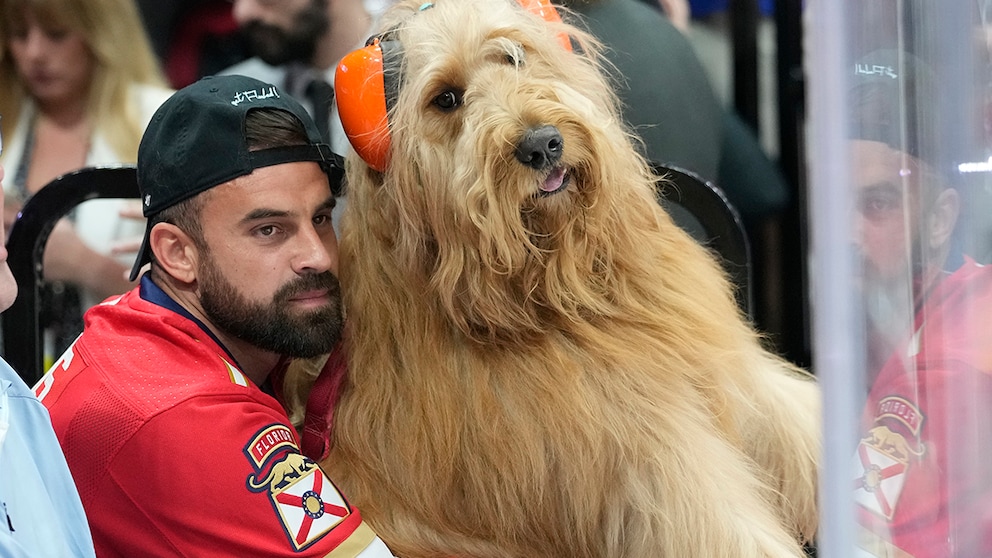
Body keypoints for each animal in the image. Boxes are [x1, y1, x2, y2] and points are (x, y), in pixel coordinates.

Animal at [286, 2, 820, 556]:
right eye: (446, 99)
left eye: (513, 56)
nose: (542, 144)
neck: (561, 293)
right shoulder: (654, 459)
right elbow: (726, 527)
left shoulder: (735, 379)